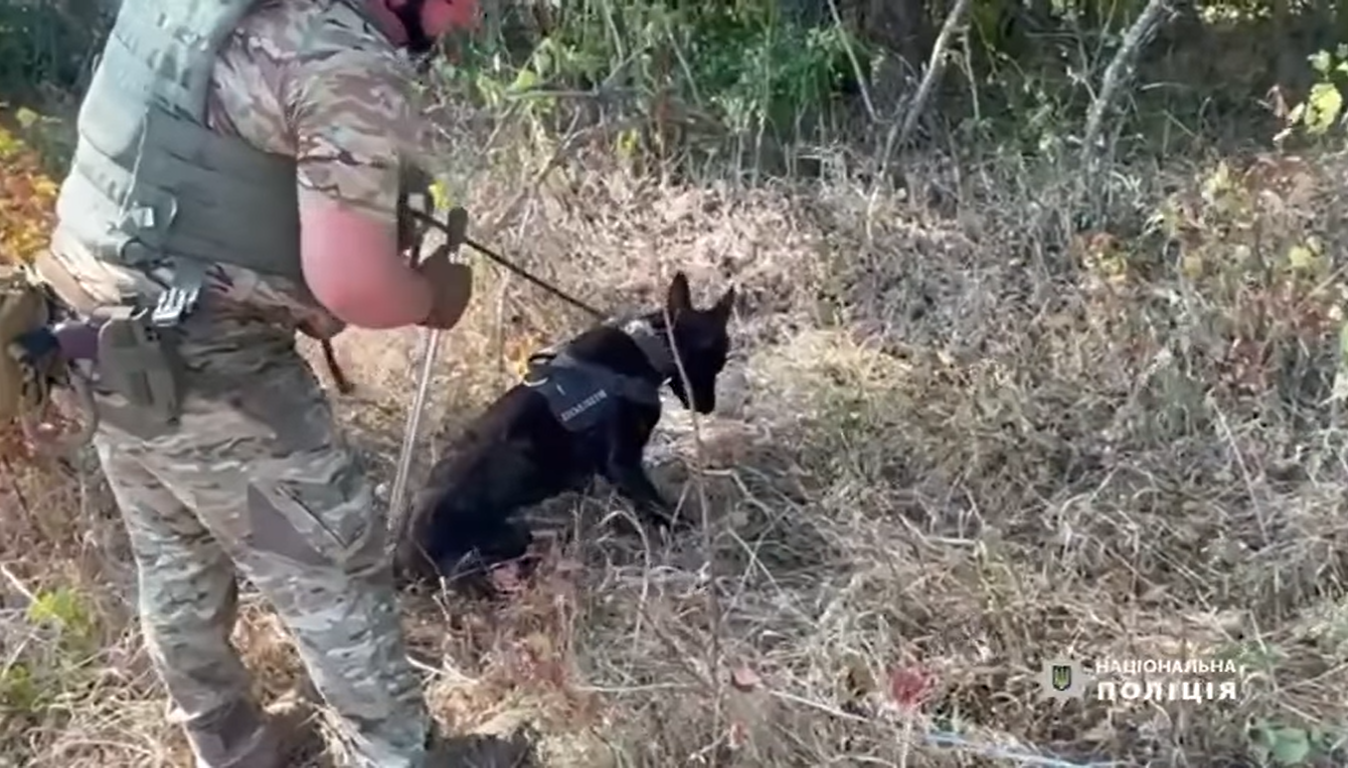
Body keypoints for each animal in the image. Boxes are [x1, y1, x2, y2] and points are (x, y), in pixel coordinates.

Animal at [396, 270, 738, 592]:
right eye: (713, 360)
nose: (708, 407)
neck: (645, 348)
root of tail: (405, 556)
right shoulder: (623, 465)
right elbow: (659, 507)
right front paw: (690, 533)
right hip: (509, 535)